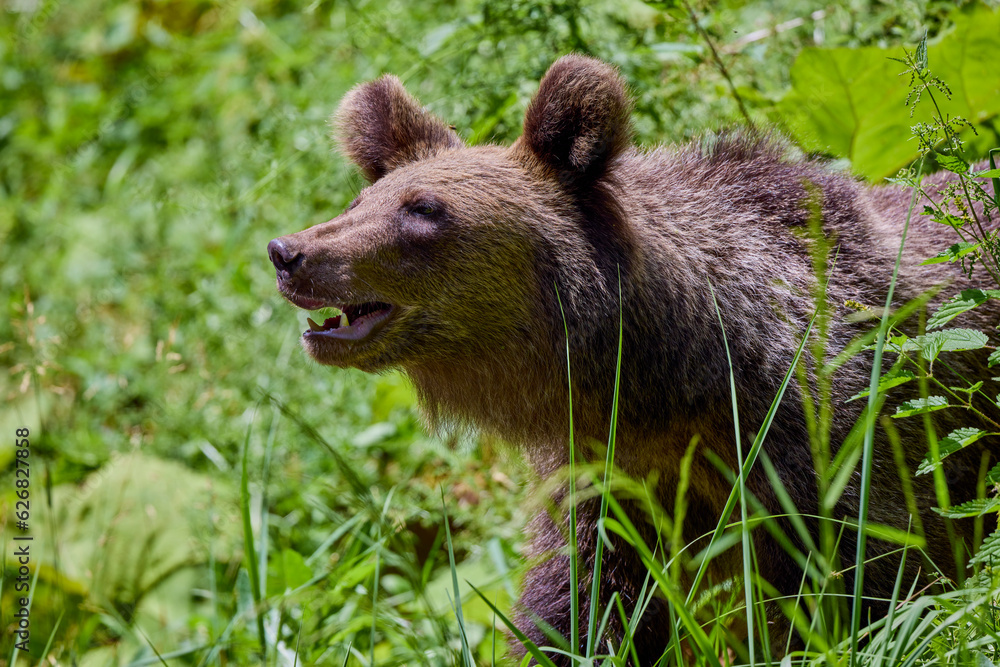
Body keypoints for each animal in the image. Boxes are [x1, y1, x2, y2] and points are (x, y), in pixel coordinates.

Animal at [267, 55, 996, 663]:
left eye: (423, 209)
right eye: (360, 200)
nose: (289, 251)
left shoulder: (831, 440)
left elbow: (873, 585)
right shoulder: (609, 481)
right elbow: (582, 607)